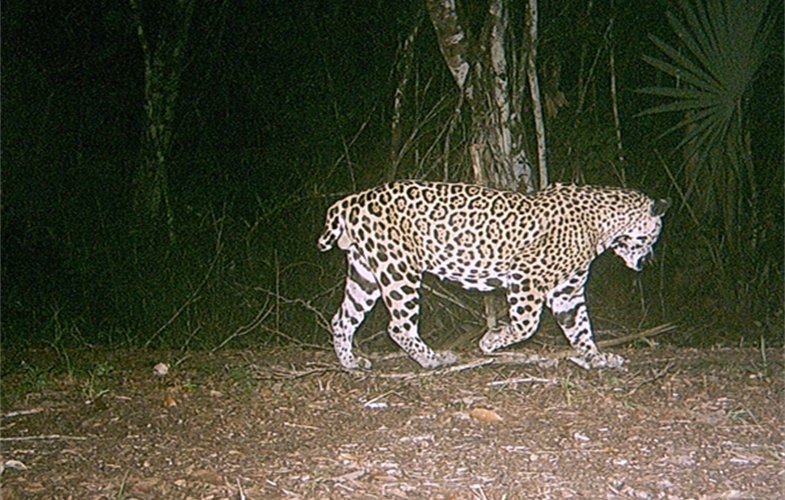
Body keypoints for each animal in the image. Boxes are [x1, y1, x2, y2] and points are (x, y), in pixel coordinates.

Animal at [318, 180, 669, 370]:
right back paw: (434, 359)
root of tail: (353, 199)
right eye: (653, 237)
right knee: (398, 326)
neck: (605, 227)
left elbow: (581, 328)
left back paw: (350, 363)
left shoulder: (567, 292)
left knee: (343, 319)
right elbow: (526, 325)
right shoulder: (526, 277)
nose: (648, 261)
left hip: (366, 271)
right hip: (398, 269)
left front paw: (596, 358)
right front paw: (490, 341)